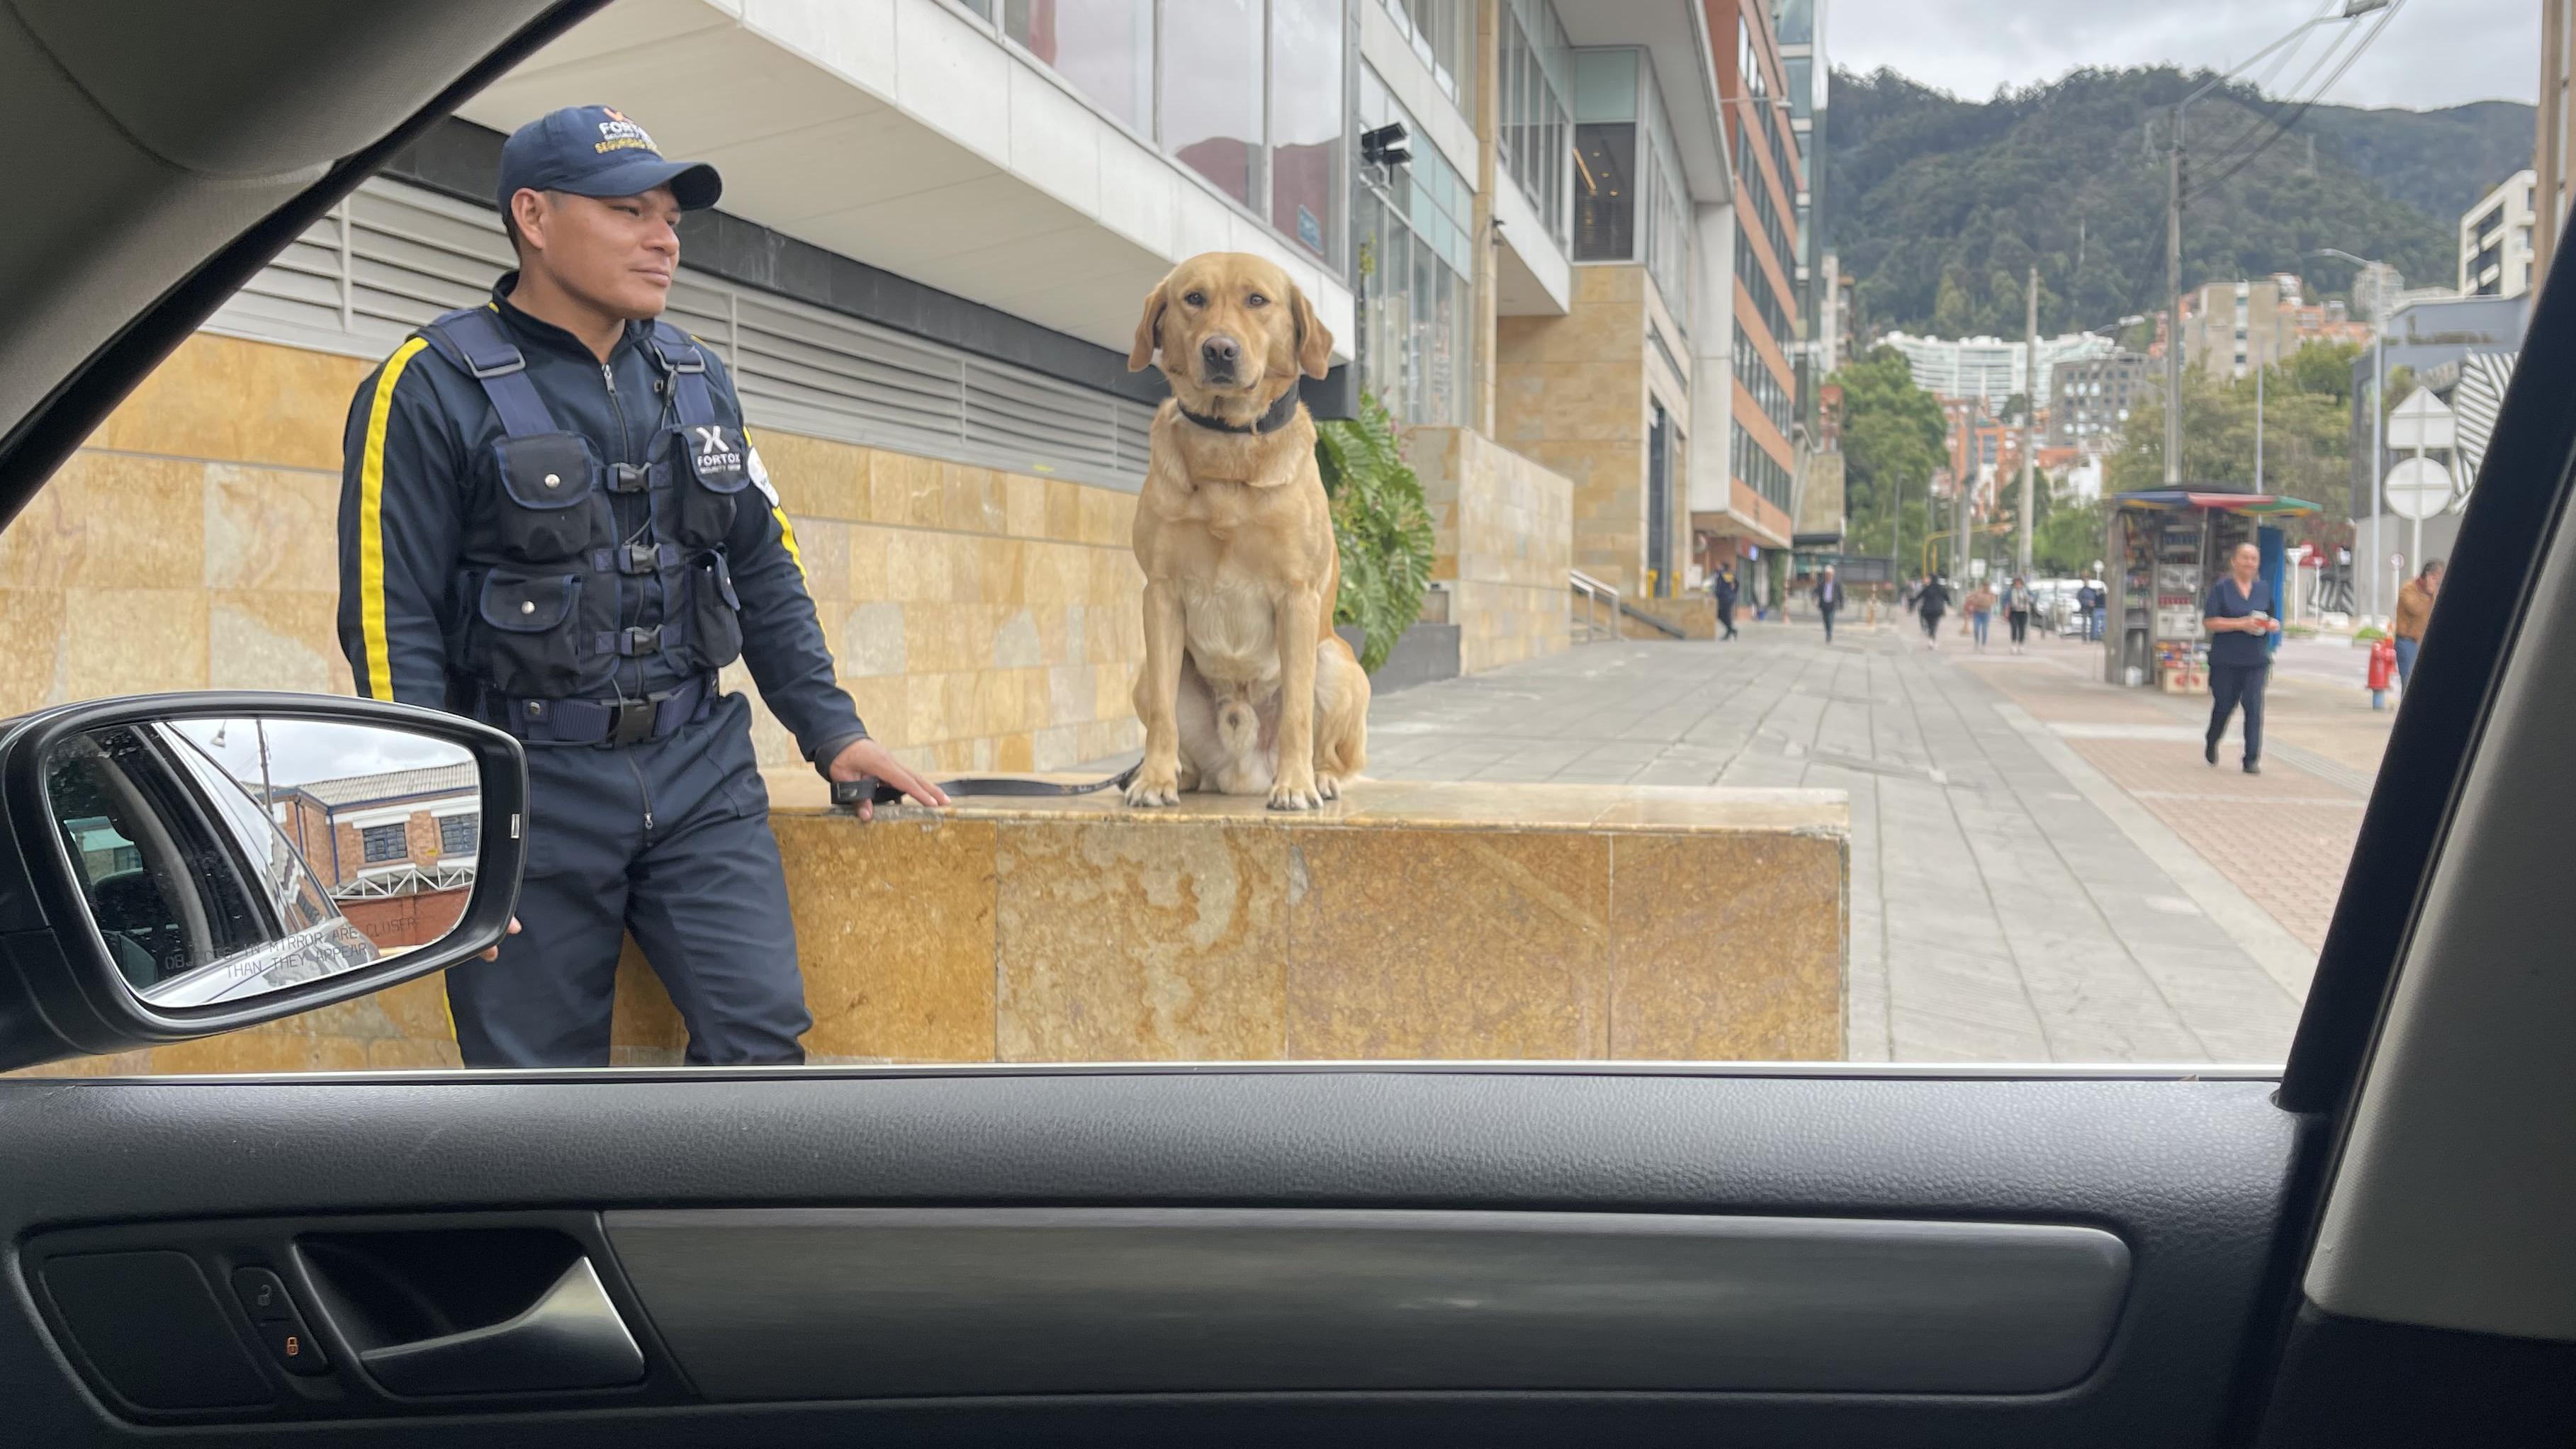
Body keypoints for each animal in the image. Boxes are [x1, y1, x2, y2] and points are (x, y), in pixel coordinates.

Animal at [1123, 253, 1370, 813]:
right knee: (1172, 723)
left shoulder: (1297, 596)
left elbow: (1298, 710)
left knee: (1338, 754)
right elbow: (1163, 717)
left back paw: (1318, 777)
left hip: (1338, 662)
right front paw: (1153, 778)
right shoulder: (1160, 594)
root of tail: (1242, 772)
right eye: (1194, 299)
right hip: (1146, 673)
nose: (1219, 348)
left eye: (1257, 300)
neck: (1226, 446)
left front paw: (1295, 784)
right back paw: (1179, 774)